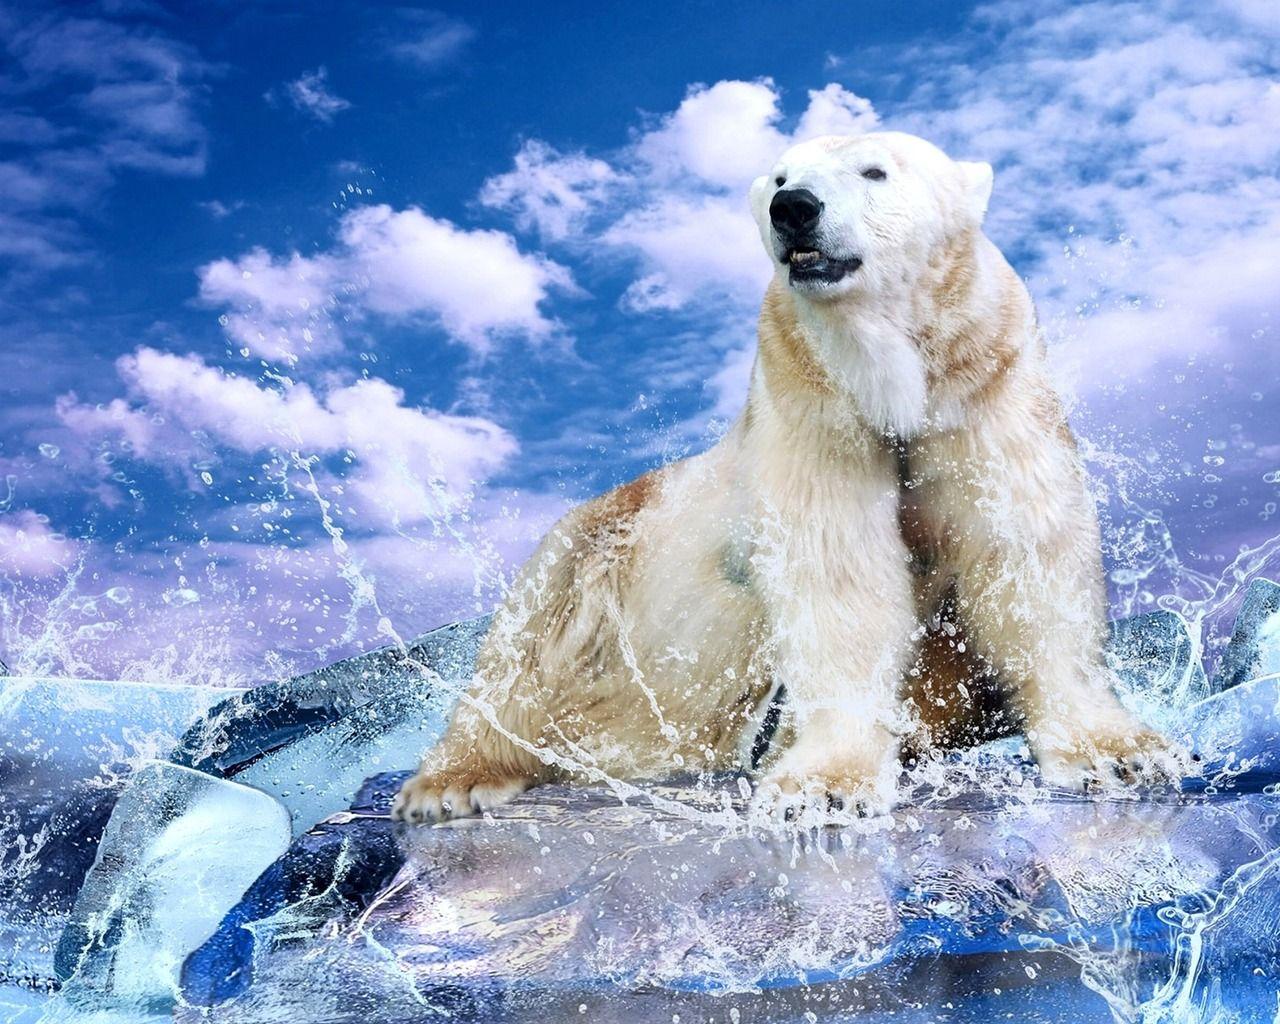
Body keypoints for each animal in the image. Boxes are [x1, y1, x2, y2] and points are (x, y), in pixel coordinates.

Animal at [391, 131, 1188, 825]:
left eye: (875, 170)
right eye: (778, 177)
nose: (794, 207)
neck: (888, 383)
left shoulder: (985, 381)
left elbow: (1024, 547)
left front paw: (1121, 753)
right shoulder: (810, 403)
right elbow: (835, 570)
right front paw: (824, 787)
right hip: (592, 549)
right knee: (522, 648)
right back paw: (453, 782)